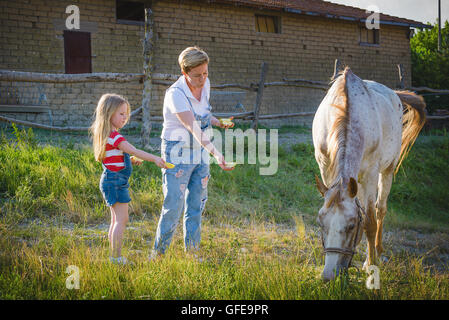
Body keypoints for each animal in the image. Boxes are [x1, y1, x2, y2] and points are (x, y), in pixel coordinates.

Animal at [312, 67, 424, 280]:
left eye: (351, 225)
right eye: (321, 223)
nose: (329, 275)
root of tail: (394, 94)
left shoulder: (370, 175)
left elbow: (370, 222)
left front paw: (371, 264)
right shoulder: (326, 171)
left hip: (386, 171)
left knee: (380, 209)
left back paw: (377, 250)